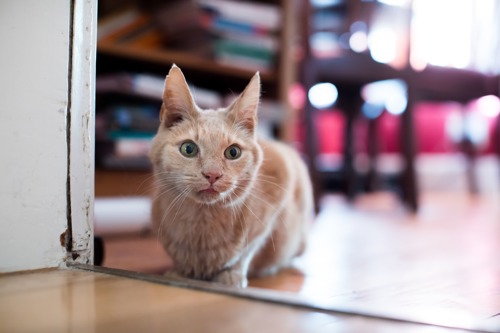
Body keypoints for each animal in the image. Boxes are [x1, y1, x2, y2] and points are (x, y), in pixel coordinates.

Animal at [150, 64, 312, 286]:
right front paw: (180, 271)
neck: (203, 220)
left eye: (233, 152)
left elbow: (246, 250)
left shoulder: (283, 176)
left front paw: (231, 274)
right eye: (188, 149)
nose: (212, 174)